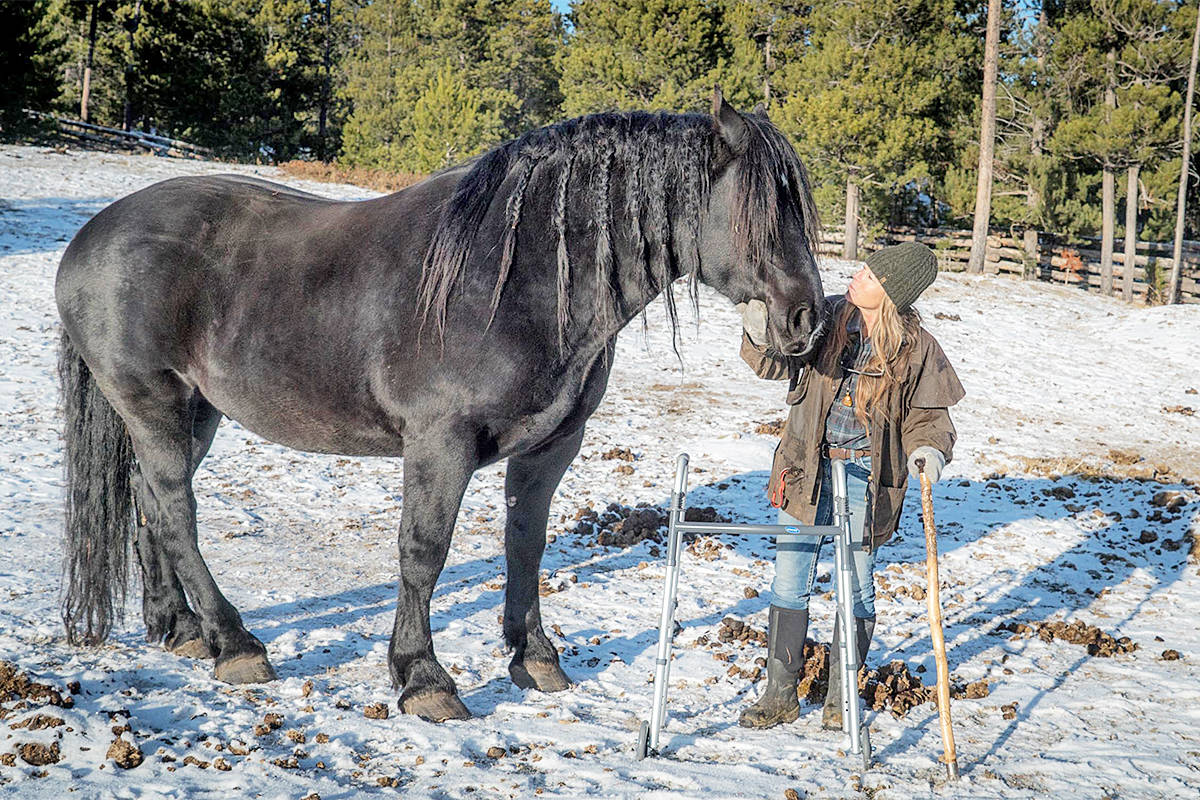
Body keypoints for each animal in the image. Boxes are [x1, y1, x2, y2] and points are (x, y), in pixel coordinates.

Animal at [56, 90, 825, 724]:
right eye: (762, 211)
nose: (806, 322)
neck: (514, 278)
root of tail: (91, 237)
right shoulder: (439, 444)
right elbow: (423, 552)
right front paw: (423, 679)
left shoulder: (552, 447)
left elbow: (525, 544)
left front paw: (534, 657)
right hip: (153, 403)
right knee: (175, 511)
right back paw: (235, 642)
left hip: (197, 412)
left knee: (148, 498)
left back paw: (180, 628)